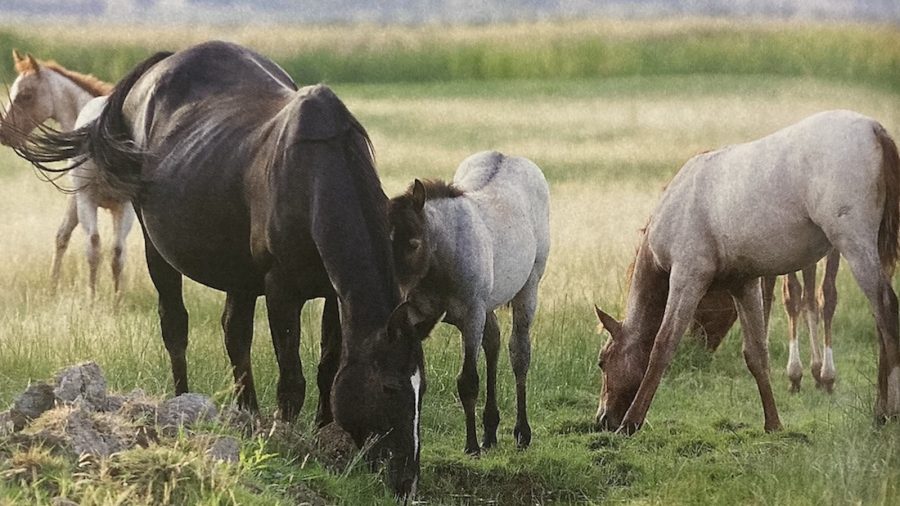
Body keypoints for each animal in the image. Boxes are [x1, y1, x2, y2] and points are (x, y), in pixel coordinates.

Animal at [0, 50, 135, 296]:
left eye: (26, 95)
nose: (3, 133)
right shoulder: (111, 204)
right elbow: (111, 252)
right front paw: (115, 299)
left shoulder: (81, 199)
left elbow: (64, 236)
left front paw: (56, 287)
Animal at [388, 151, 550, 455]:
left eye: (414, 243)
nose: (396, 296)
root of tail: (510, 156)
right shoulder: (418, 316)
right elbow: (417, 377)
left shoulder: (471, 316)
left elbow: (468, 381)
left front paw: (471, 446)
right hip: (489, 304)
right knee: (494, 342)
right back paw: (491, 431)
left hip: (528, 288)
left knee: (519, 353)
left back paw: (521, 433)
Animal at [692, 251, 841, 393]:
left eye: (701, 305)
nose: (695, 344)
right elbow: (792, 294)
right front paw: (796, 372)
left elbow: (827, 295)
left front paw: (827, 375)